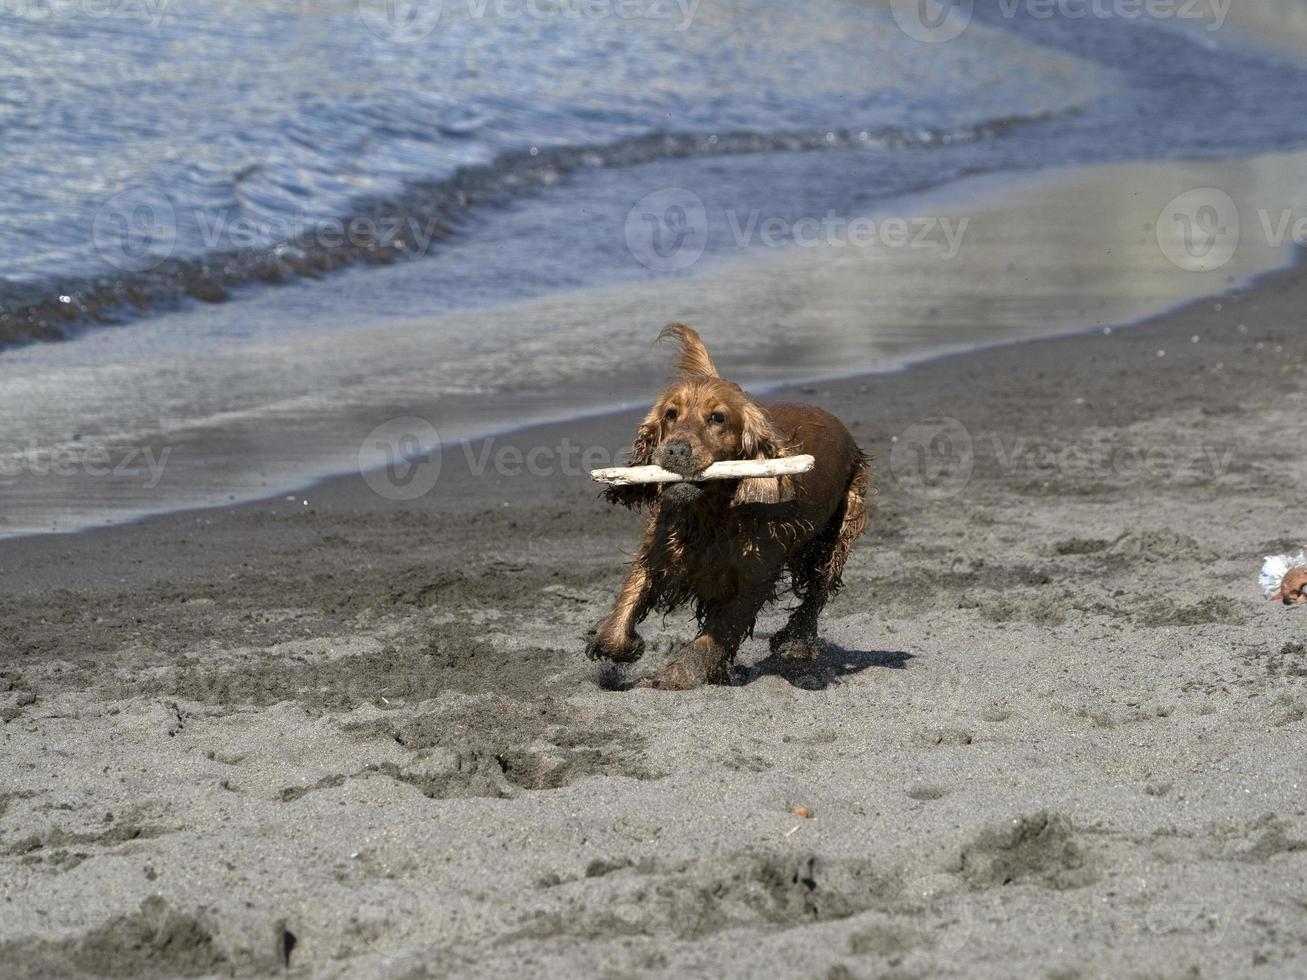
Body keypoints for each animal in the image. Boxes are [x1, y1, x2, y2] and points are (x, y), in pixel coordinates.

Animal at [590, 324, 873, 689]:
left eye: (717, 418)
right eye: (670, 414)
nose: (675, 450)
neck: (710, 515)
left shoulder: (753, 580)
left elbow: (716, 635)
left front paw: (676, 674)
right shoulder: (660, 551)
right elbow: (628, 601)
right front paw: (618, 645)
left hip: (839, 532)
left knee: (818, 590)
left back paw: (796, 642)